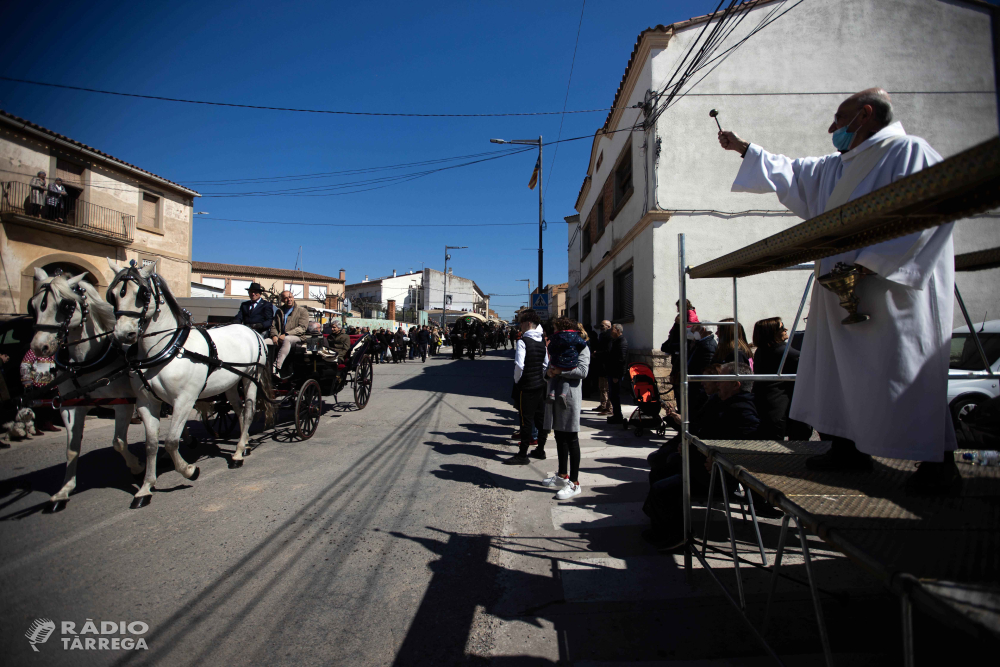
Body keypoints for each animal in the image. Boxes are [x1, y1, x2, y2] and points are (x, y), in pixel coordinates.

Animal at [28, 268, 146, 516]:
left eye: (65, 305)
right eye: (33, 305)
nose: (39, 347)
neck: (83, 362)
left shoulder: (123, 402)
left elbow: (118, 442)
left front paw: (137, 467)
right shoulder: (71, 406)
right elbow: (72, 448)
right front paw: (63, 491)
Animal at [108, 258, 272, 508]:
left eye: (143, 294)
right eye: (114, 293)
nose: (123, 335)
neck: (169, 348)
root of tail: (251, 330)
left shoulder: (184, 400)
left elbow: (171, 441)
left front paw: (189, 470)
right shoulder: (146, 402)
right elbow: (151, 444)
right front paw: (145, 488)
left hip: (250, 377)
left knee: (249, 410)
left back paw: (237, 453)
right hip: (231, 382)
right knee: (239, 409)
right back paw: (243, 446)